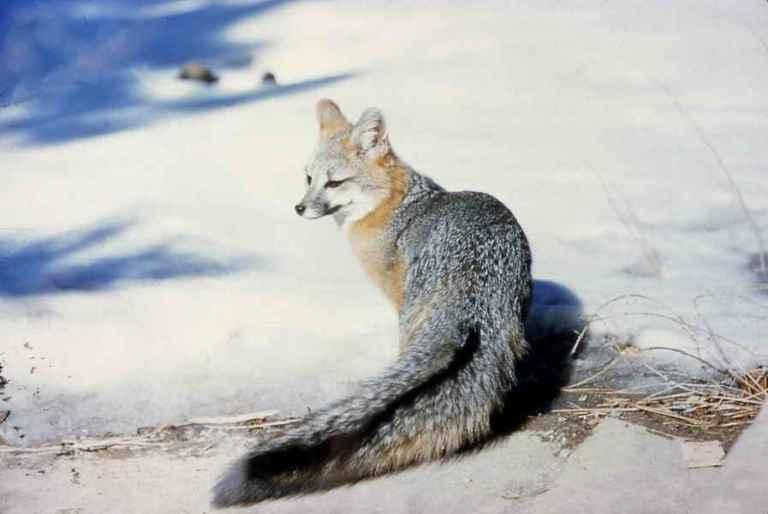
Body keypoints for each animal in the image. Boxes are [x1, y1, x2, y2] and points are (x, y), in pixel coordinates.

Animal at [212, 99, 534, 508]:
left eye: (334, 183)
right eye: (308, 178)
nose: (299, 208)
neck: (396, 206)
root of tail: (475, 286)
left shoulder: (396, 298)